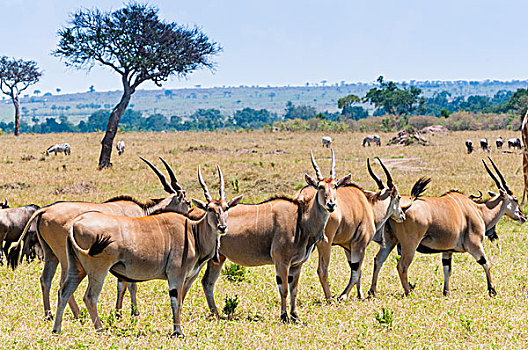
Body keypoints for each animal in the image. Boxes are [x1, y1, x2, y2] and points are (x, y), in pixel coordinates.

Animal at [6, 157, 192, 322]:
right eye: (188, 202)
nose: (191, 216)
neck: (143, 212)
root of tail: (44, 210)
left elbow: (123, 284)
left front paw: (120, 312)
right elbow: (129, 284)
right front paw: (132, 312)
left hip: (51, 255)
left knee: (46, 279)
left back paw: (49, 315)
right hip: (66, 258)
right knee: (62, 283)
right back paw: (78, 314)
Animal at [52, 165, 242, 334]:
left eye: (225, 208)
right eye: (209, 209)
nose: (222, 227)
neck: (192, 231)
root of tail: (76, 223)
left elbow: (179, 301)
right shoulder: (176, 275)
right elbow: (176, 300)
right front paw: (178, 331)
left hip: (77, 269)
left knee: (64, 291)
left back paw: (57, 329)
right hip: (98, 270)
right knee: (90, 297)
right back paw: (100, 329)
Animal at [202, 150, 350, 322]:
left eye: (335, 186)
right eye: (320, 187)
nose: (331, 205)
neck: (300, 219)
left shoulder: (296, 264)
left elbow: (294, 289)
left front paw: (295, 316)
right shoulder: (281, 261)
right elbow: (284, 288)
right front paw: (284, 316)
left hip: (218, 258)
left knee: (207, 282)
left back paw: (216, 314)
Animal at [294, 157, 414, 300]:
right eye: (398, 197)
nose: (402, 215)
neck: (368, 205)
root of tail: (303, 196)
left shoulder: (348, 247)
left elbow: (358, 271)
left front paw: (359, 295)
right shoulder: (360, 244)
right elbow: (356, 272)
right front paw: (343, 296)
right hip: (324, 243)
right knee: (322, 269)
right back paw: (329, 298)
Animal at [370, 159, 524, 298]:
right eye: (515, 199)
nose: (523, 216)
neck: (479, 211)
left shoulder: (447, 251)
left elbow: (447, 269)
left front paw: (446, 292)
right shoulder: (475, 246)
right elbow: (486, 263)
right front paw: (492, 290)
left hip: (390, 242)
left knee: (378, 260)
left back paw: (372, 292)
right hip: (410, 245)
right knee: (401, 266)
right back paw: (408, 292)